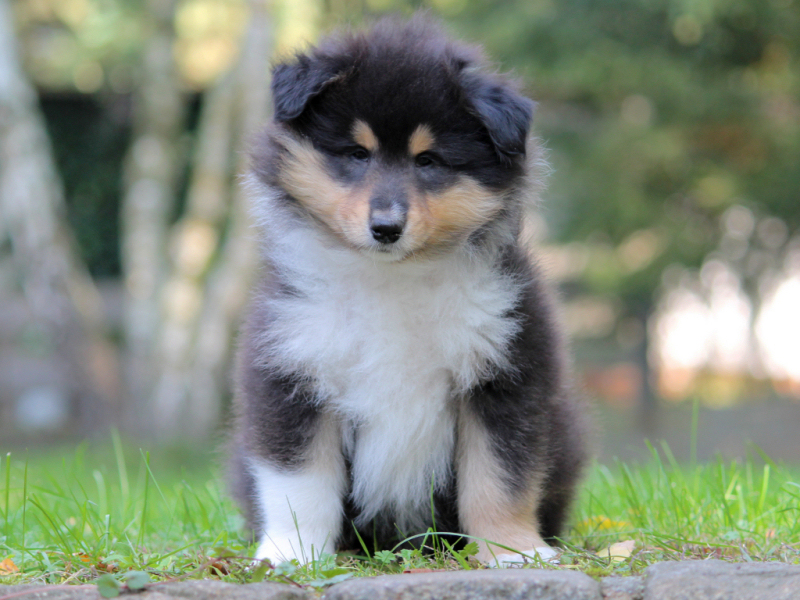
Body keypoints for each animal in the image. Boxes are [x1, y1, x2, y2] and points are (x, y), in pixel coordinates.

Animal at [228, 15, 584, 568]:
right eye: (357, 153)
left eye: (429, 161)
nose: (386, 228)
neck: (392, 278)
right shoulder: (292, 371)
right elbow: (299, 483)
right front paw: (293, 553)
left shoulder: (507, 373)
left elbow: (500, 478)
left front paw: (512, 551)